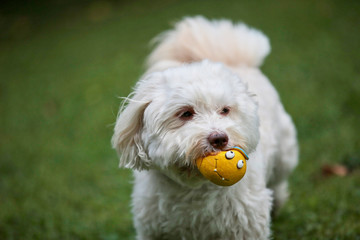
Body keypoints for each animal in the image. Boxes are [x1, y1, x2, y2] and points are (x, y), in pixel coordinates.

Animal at [112, 15, 298, 239]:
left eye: (225, 110)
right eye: (185, 113)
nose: (219, 138)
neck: (195, 188)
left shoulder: (246, 225)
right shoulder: (153, 228)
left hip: (284, 154)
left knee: (279, 180)